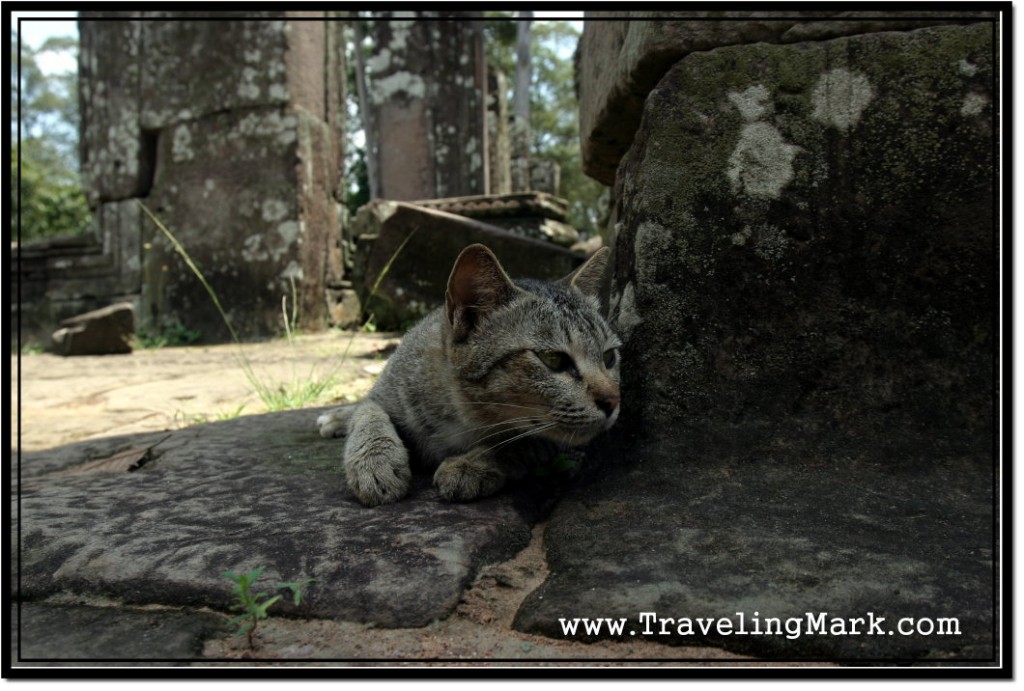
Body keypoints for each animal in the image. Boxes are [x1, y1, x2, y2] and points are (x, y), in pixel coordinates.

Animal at [315, 244, 618, 507]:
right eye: (553, 359)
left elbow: (522, 444)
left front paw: (472, 465)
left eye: (609, 358)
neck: (463, 415)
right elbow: (369, 415)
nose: (613, 402)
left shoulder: (558, 444)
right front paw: (375, 462)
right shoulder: (385, 393)